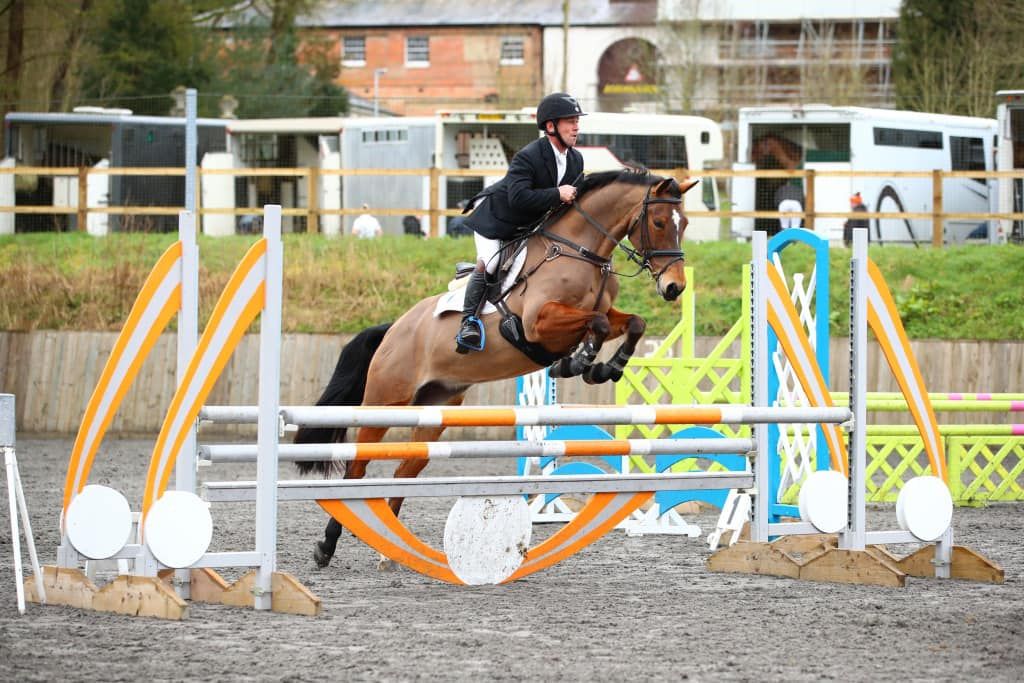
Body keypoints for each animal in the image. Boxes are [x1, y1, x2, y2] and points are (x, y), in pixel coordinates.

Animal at [292, 167, 700, 569]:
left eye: (684, 223)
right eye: (659, 222)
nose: (674, 287)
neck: (580, 252)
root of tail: (393, 328)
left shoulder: (597, 316)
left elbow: (632, 323)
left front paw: (605, 367)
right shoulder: (539, 323)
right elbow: (596, 323)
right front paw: (580, 362)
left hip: (436, 408)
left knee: (404, 470)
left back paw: (389, 548)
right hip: (385, 402)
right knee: (357, 469)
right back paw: (326, 546)